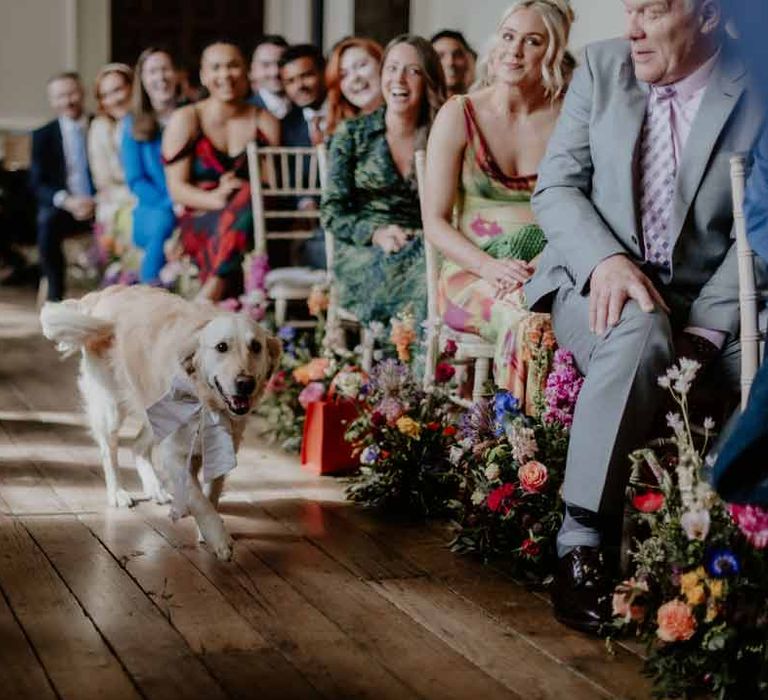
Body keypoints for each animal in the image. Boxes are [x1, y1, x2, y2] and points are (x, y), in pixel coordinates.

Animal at [40, 284, 280, 556]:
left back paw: (155, 488)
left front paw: (207, 531)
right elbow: (197, 496)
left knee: (137, 446)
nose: (245, 383)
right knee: (109, 451)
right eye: (221, 347)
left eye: (256, 347)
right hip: (111, 406)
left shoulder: (221, 446)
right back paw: (118, 493)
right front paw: (217, 537)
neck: (205, 398)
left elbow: (211, 492)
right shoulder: (174, 452)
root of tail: (107, 292)